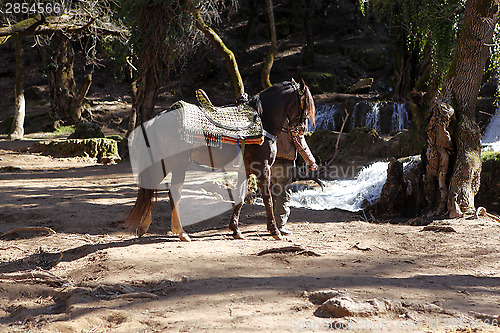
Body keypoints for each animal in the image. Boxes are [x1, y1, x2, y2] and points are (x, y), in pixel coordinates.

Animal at [123, 80, 314, 241]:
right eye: (305, 105)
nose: (302, 128)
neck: (263, 121)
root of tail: (159, 117)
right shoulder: (263, 168)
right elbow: (267, 198)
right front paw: (274, 231)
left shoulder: (245, 169)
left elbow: (240, 197)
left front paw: (235, 230)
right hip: (177, 163)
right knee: (174, 192)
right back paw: (181, 232)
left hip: (165, 162)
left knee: (151, 188)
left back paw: (144, 227)